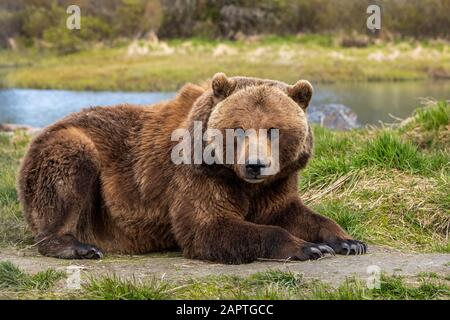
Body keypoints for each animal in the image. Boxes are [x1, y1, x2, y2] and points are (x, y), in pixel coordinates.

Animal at [19, 74, 368, 264]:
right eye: (239, 129)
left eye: (273, 130)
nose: (255, 165)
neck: (237, 177)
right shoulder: (197, 174)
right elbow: (209, 226)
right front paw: (309, 247)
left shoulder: (276, 182)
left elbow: (291, 212)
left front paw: (348, 241)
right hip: (68, 152)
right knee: (68, 173)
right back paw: (77, 246)